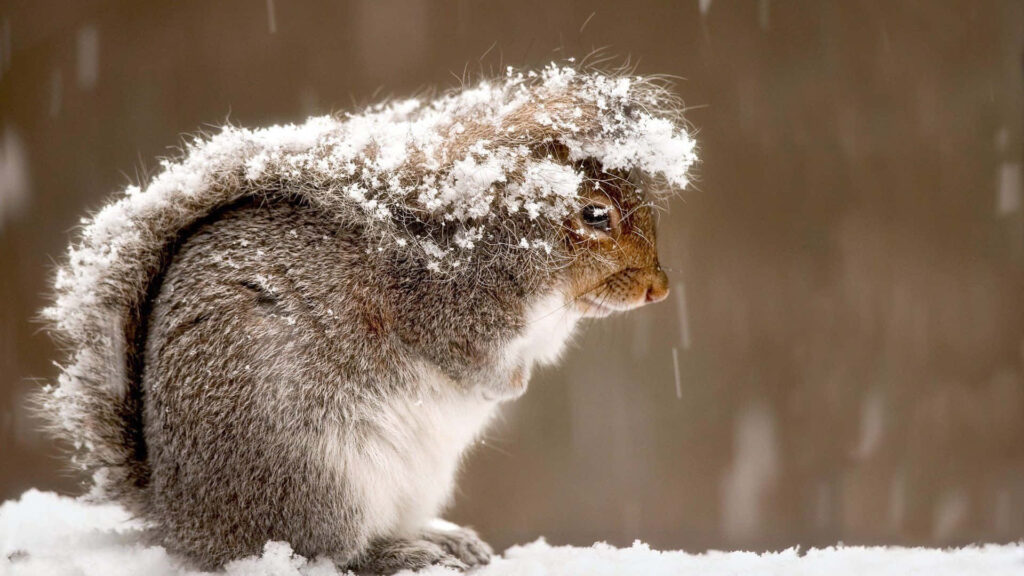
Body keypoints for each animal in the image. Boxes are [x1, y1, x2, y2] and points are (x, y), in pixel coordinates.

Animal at [37, 63, 697, 573]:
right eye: (595, 215)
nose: (659, 289)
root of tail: (185, 522)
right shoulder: (442, 310)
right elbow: (467, 360)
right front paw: (506, 386)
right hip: (318, 475)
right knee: (331, 552)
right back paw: (401, 553)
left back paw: (439, 537)